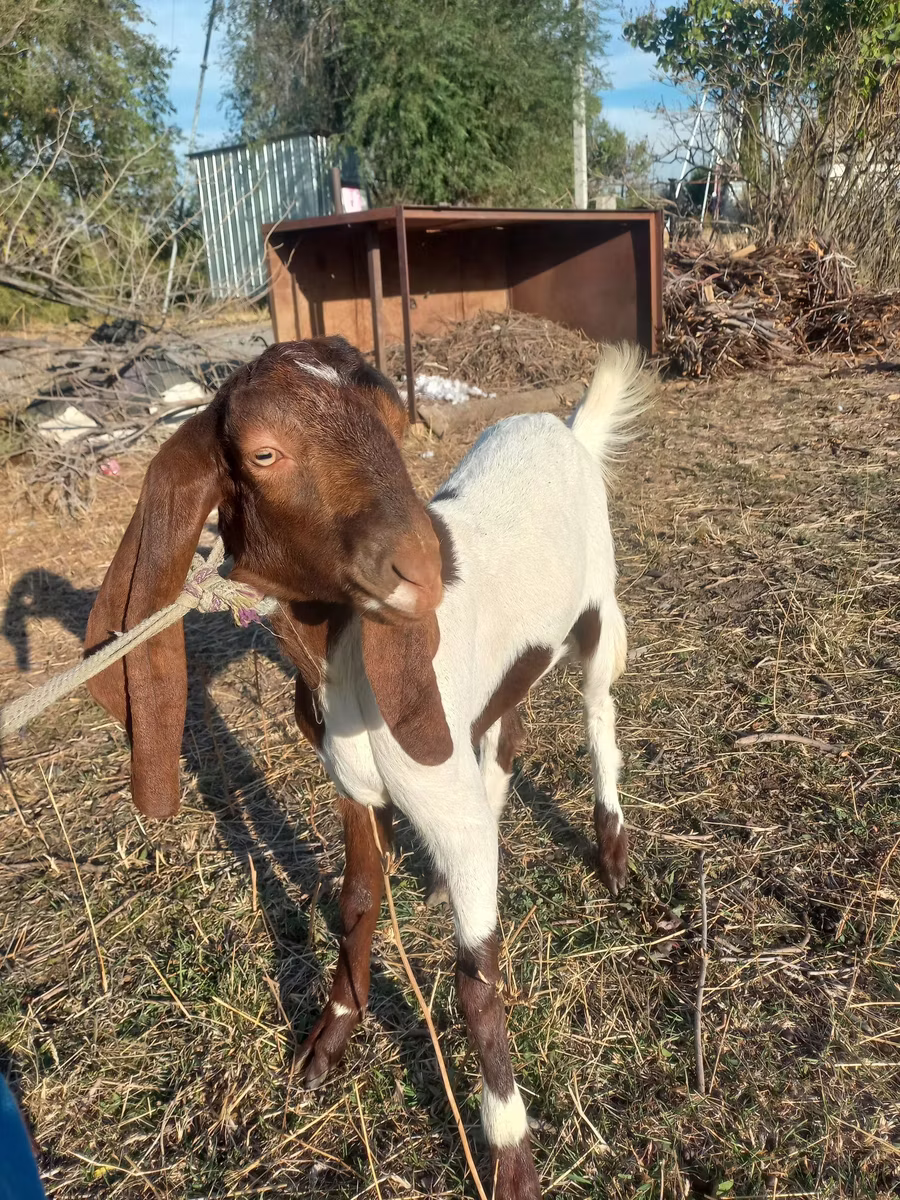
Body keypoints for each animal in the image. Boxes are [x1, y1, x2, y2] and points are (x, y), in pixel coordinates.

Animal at [84, 336, 651, 1200]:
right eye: (263, 453)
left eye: (391, 419)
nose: (424, 568)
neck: (343, 660)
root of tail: (563, 428)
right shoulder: (355, 789)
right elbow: (356, 900)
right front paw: (329, 1040)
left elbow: (475, 977)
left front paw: (511, 1155)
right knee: (505, 727)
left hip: (598, 609)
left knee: (599, 714)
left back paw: (612, 851)